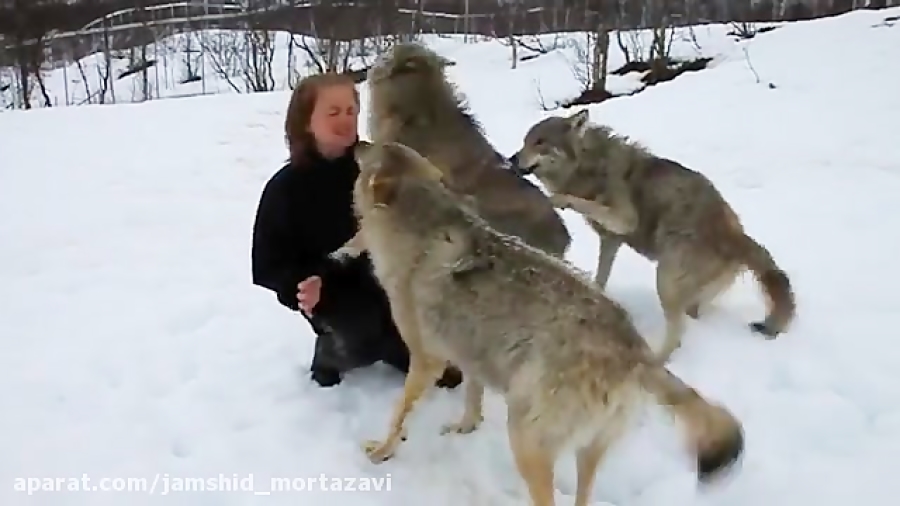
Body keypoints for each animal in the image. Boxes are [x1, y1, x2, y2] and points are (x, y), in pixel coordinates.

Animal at [330, 141, 744, 506]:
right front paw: (465, 427)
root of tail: (636, 351)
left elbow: (399, 414)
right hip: (582, 451)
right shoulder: (470, 353)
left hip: (526, 441)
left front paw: (381, 451)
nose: (357, 142)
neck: (419, 238)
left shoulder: (426, 360)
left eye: (375, 149)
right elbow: (472, 398)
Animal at [510, 109, 800, 364]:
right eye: (525, 141)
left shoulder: (625, 220)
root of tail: (737, 237)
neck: (589, 165)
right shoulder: (611, 240)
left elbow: (579, 202)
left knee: (678, 334)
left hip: (665, 278)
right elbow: (600, 278)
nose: (512, 160)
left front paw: (559, 199)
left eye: (540, 142)